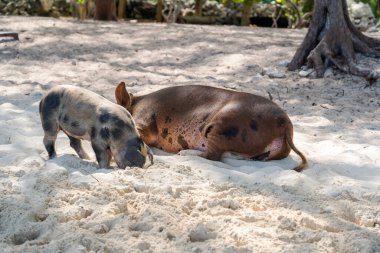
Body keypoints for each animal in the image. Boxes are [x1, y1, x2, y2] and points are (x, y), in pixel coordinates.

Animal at [115, 83, 306, 172]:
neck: (135, 104)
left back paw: (183, 153)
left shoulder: (144, 120)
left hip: (224, 125)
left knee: (212, 155)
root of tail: (286, 124)